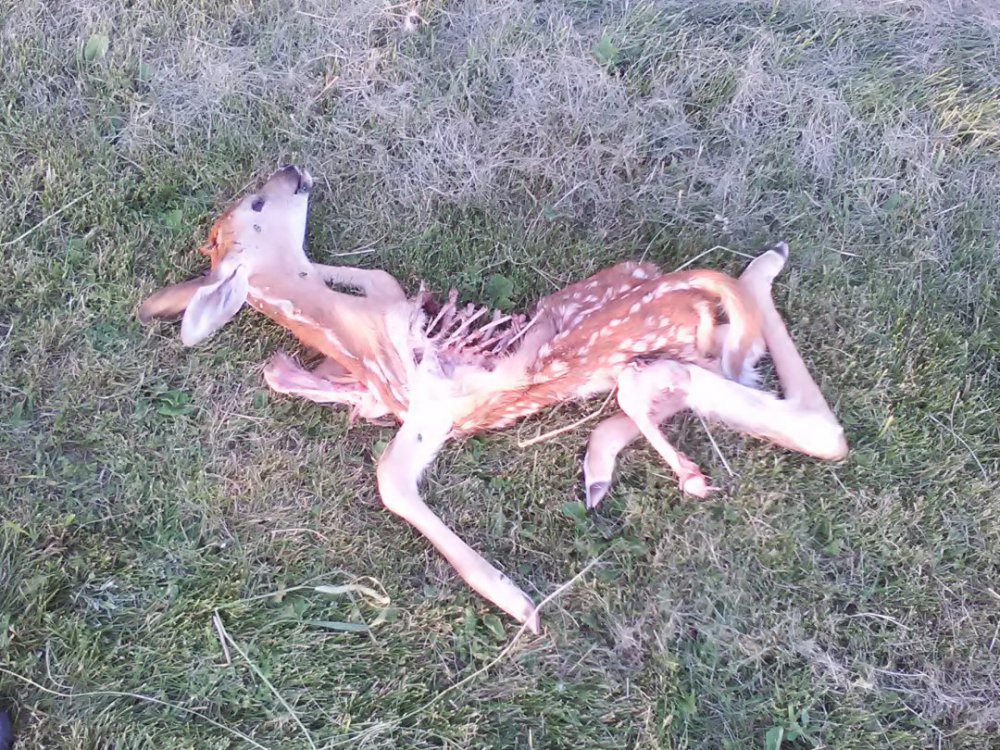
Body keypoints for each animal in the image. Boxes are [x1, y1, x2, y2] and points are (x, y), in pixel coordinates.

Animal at [139, 165, 848, 632]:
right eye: (260, 200)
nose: (292, 169)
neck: (353, 333)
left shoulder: (415, 360)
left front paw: (518, 605)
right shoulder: (418, 401)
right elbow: (359, 442)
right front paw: (519, 603)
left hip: (656, 323)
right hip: (675, 352)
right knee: (801, 423)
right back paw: (627, 465)